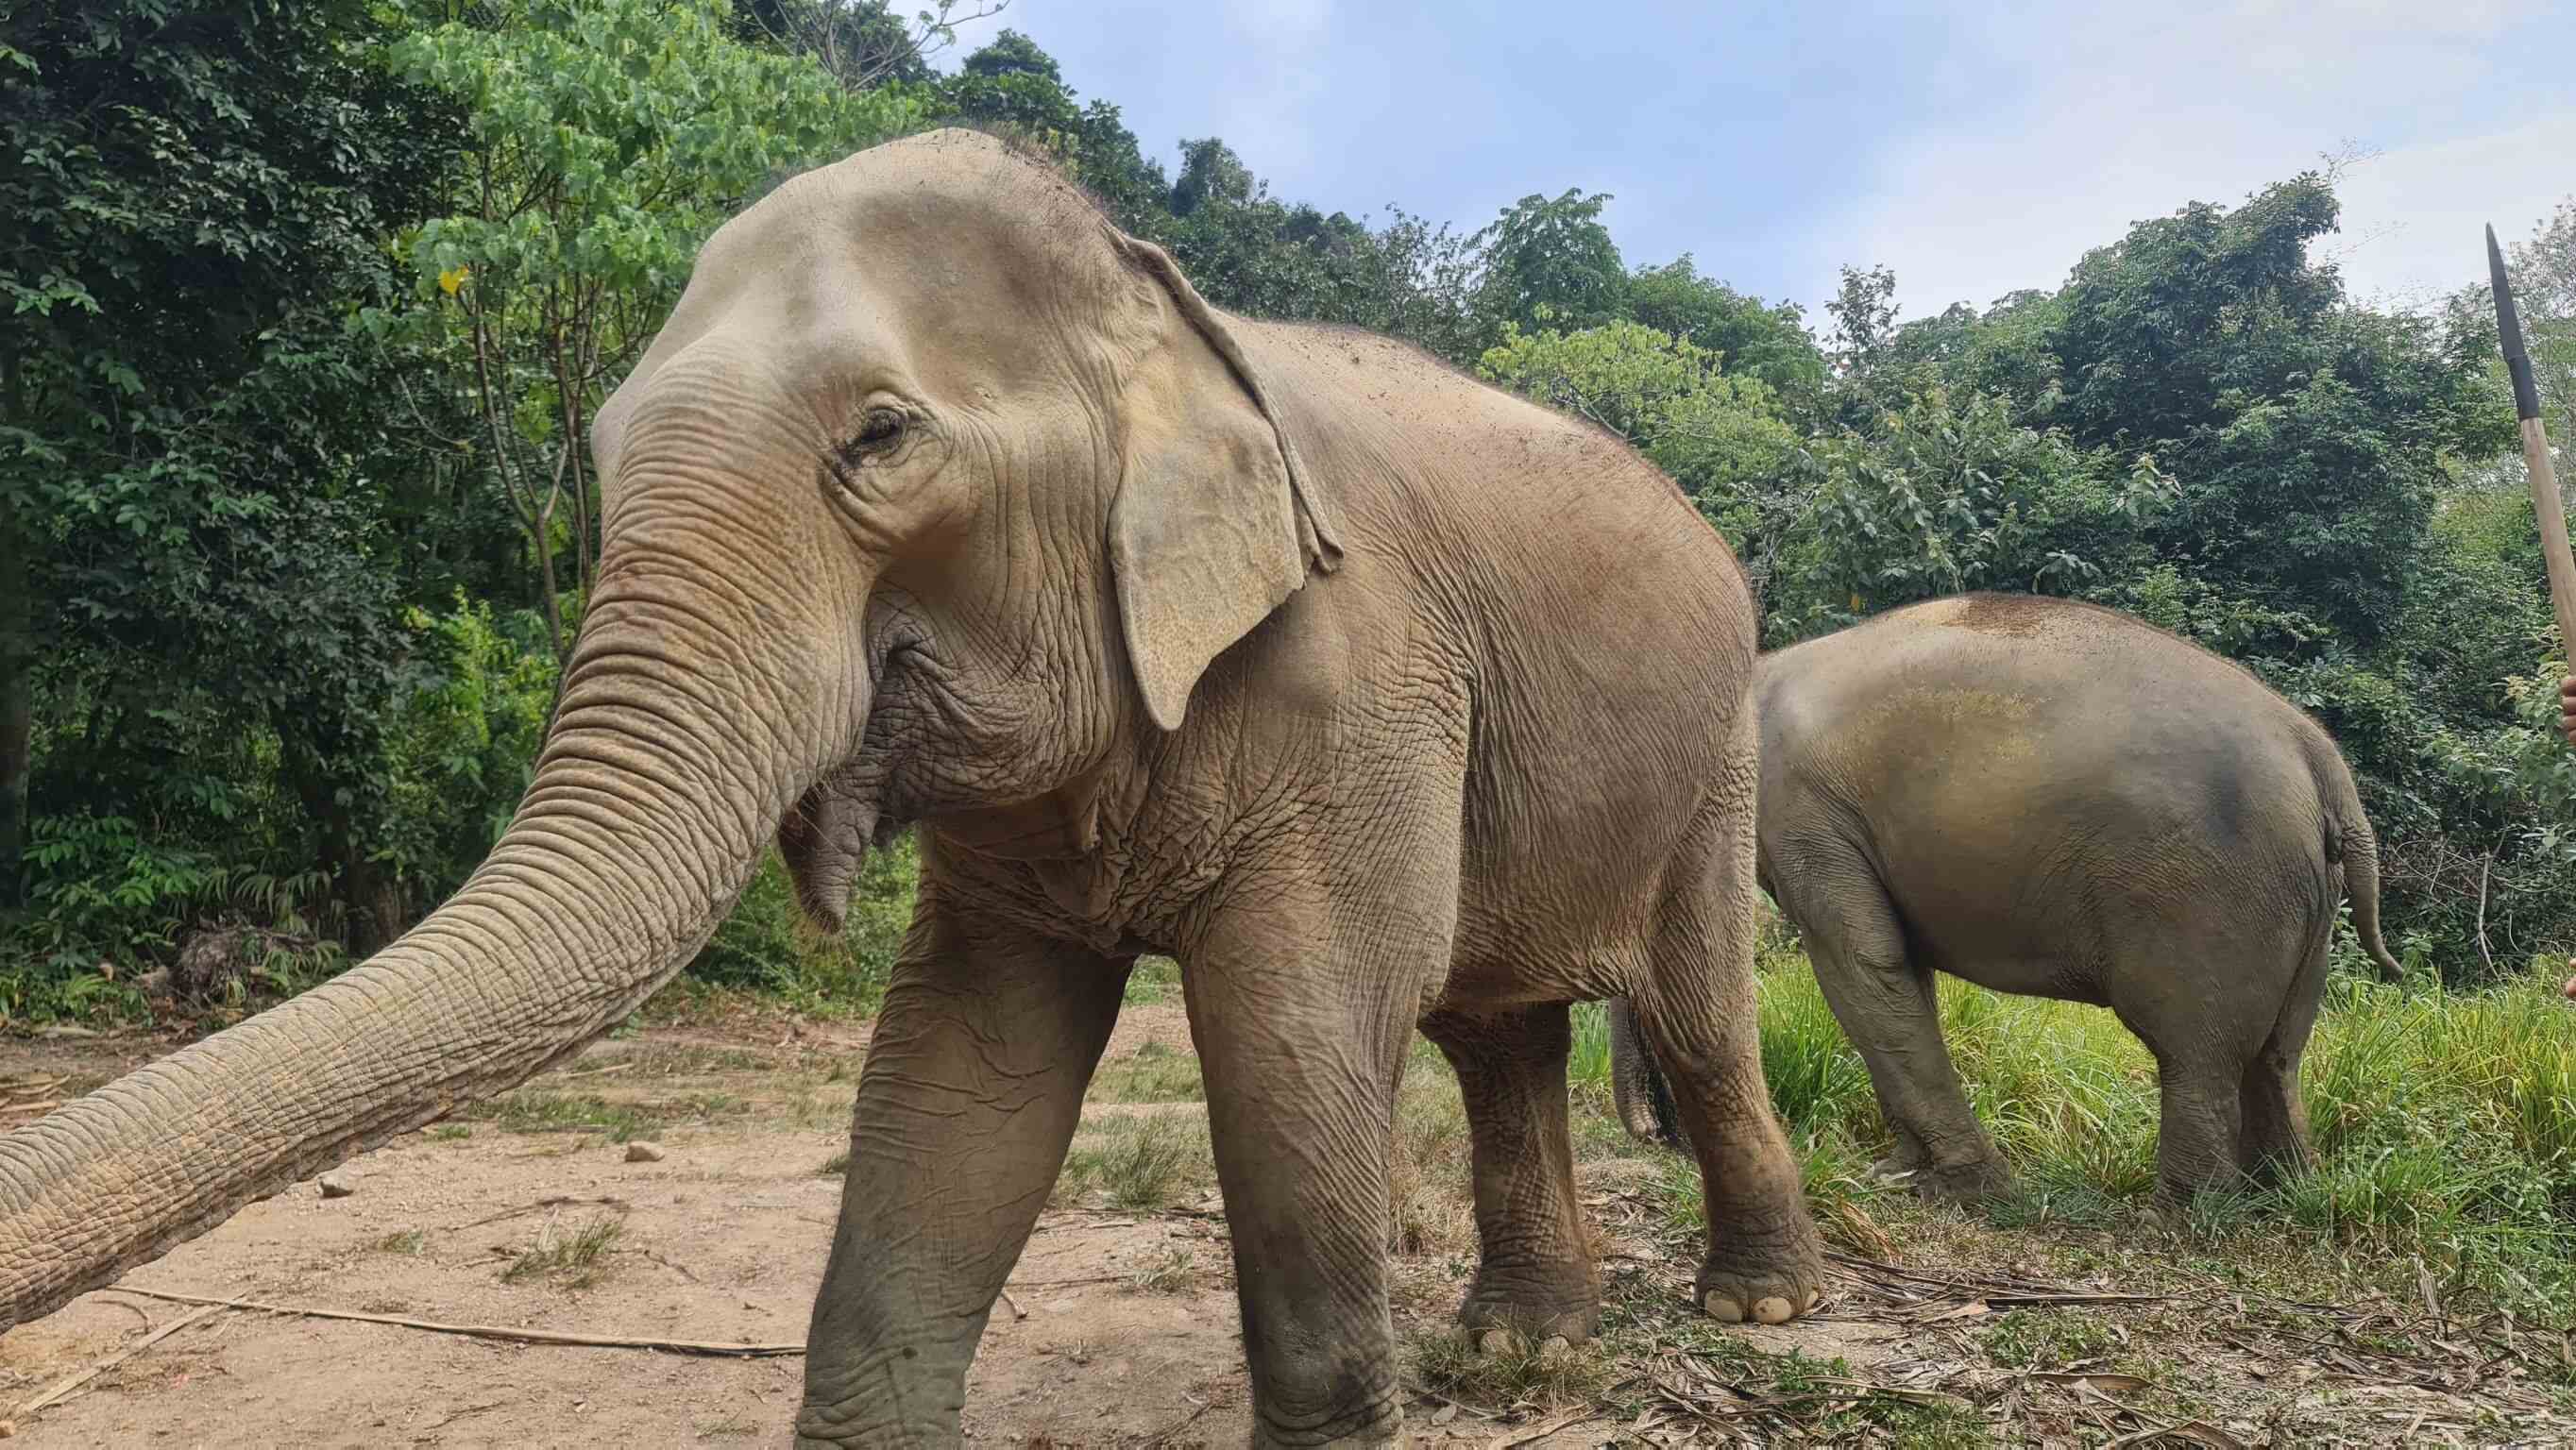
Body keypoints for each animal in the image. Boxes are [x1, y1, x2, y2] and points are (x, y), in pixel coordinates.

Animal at [0, 130, 1825, 1446]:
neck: (1160, 302)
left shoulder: (1355, 686)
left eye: (878, 440)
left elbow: (1292, 1043)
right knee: (1494, 1031)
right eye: (599, 449)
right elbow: (961, 1078)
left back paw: (1755, 1311)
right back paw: (1522, 1352)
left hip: (1714, 765)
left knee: (1693, 1019)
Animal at [1606, 593, 2403, 1207]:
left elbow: (1862, 961)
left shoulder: (1805, 814)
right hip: (2304, 902)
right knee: (2277, 1052)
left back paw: (2180, 1212)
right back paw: (2285, 1193)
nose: (1656, 1136)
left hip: (2209, 893)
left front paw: (1961, 1189)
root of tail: (2319, 755)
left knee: (2195, 1051)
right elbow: (1899, 970)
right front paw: (1903, 1171)